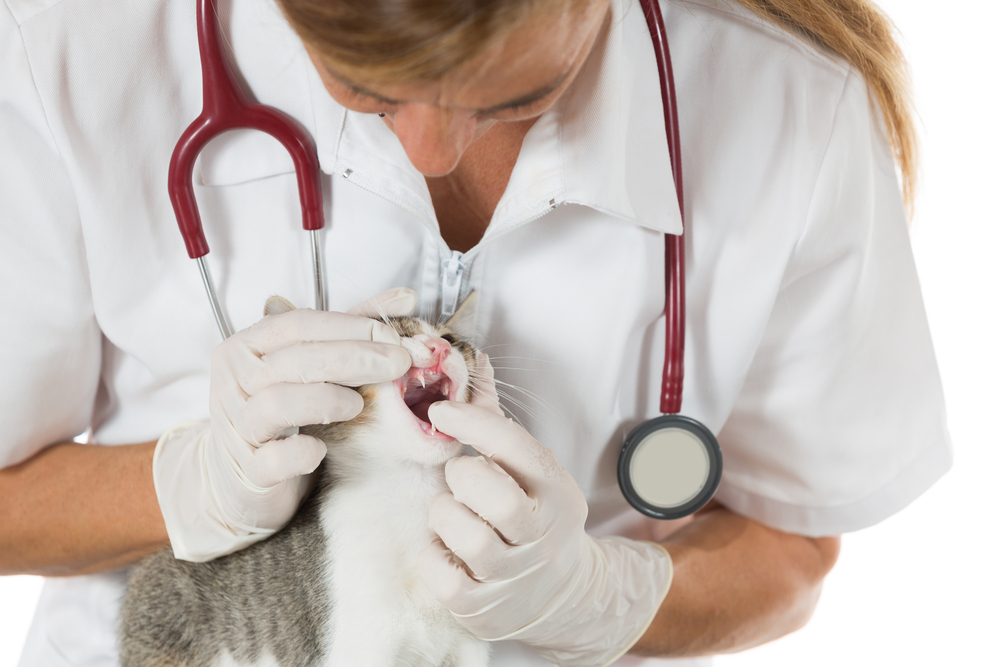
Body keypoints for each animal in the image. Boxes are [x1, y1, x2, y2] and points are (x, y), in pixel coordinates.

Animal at [121, 296, 492, 667]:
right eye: (394, 336)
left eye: (452, 339)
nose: (440, 347)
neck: (413, 494)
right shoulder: (359, 639)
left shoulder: (468, 642)